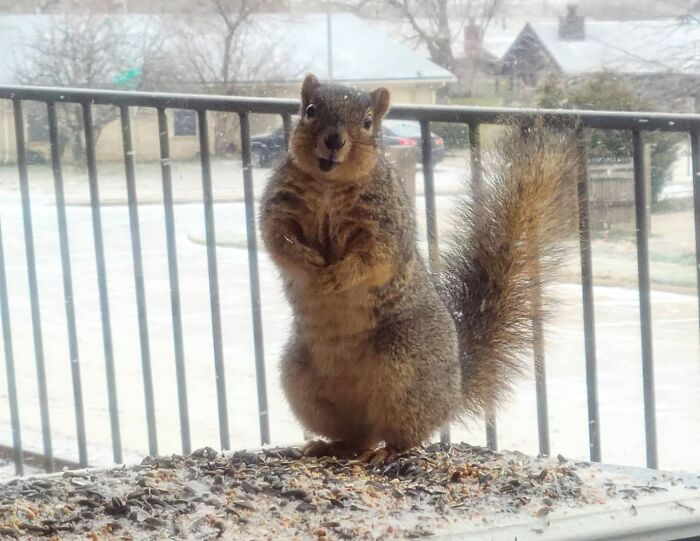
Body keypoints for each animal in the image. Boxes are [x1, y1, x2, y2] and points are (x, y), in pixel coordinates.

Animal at [260, 74, 576, 458]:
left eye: (368, 121)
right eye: (309, 110)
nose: (334, 140)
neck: (328, 184)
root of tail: (454, 393)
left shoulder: (385, 223)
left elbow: (374, 258)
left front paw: (338, 274)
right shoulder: (279, 207)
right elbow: (278, 241)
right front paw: (306, 259)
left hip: (405, 367)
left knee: (403, 434)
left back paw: (388, 450)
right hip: (300, 378)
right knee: (358, 436)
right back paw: (329, 445)